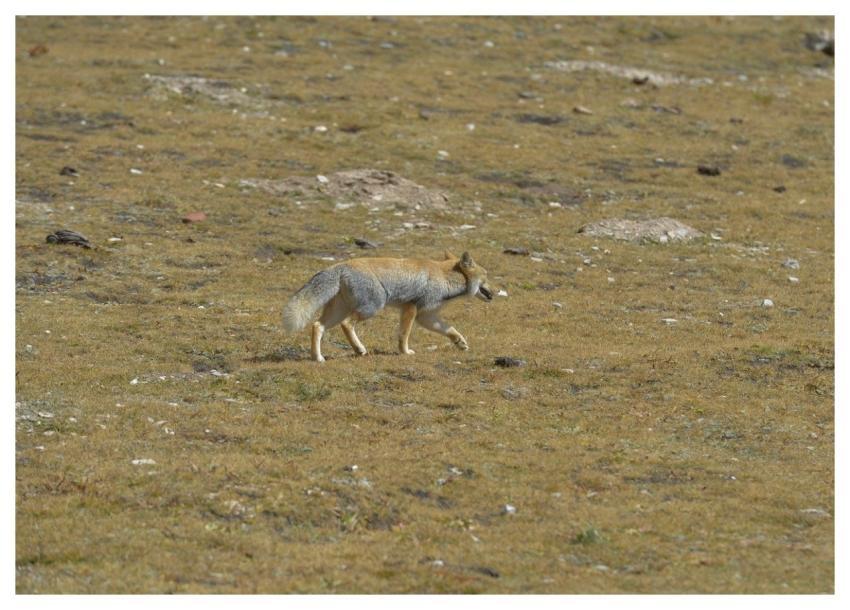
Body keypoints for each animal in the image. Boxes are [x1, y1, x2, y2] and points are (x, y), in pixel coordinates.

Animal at [282, 251, 494, 362]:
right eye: (487, 276)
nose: (496, 291)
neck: (445, 277)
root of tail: (339, 266)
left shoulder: (426, 316)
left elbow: (450, 329)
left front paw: (460, 342)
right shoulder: (411, 308)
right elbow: (403, 335)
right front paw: (404, 352)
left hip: (339, 311)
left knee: (317, 326)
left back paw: (317, 357)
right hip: (372, 307)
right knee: (346, 324)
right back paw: (359, 349)